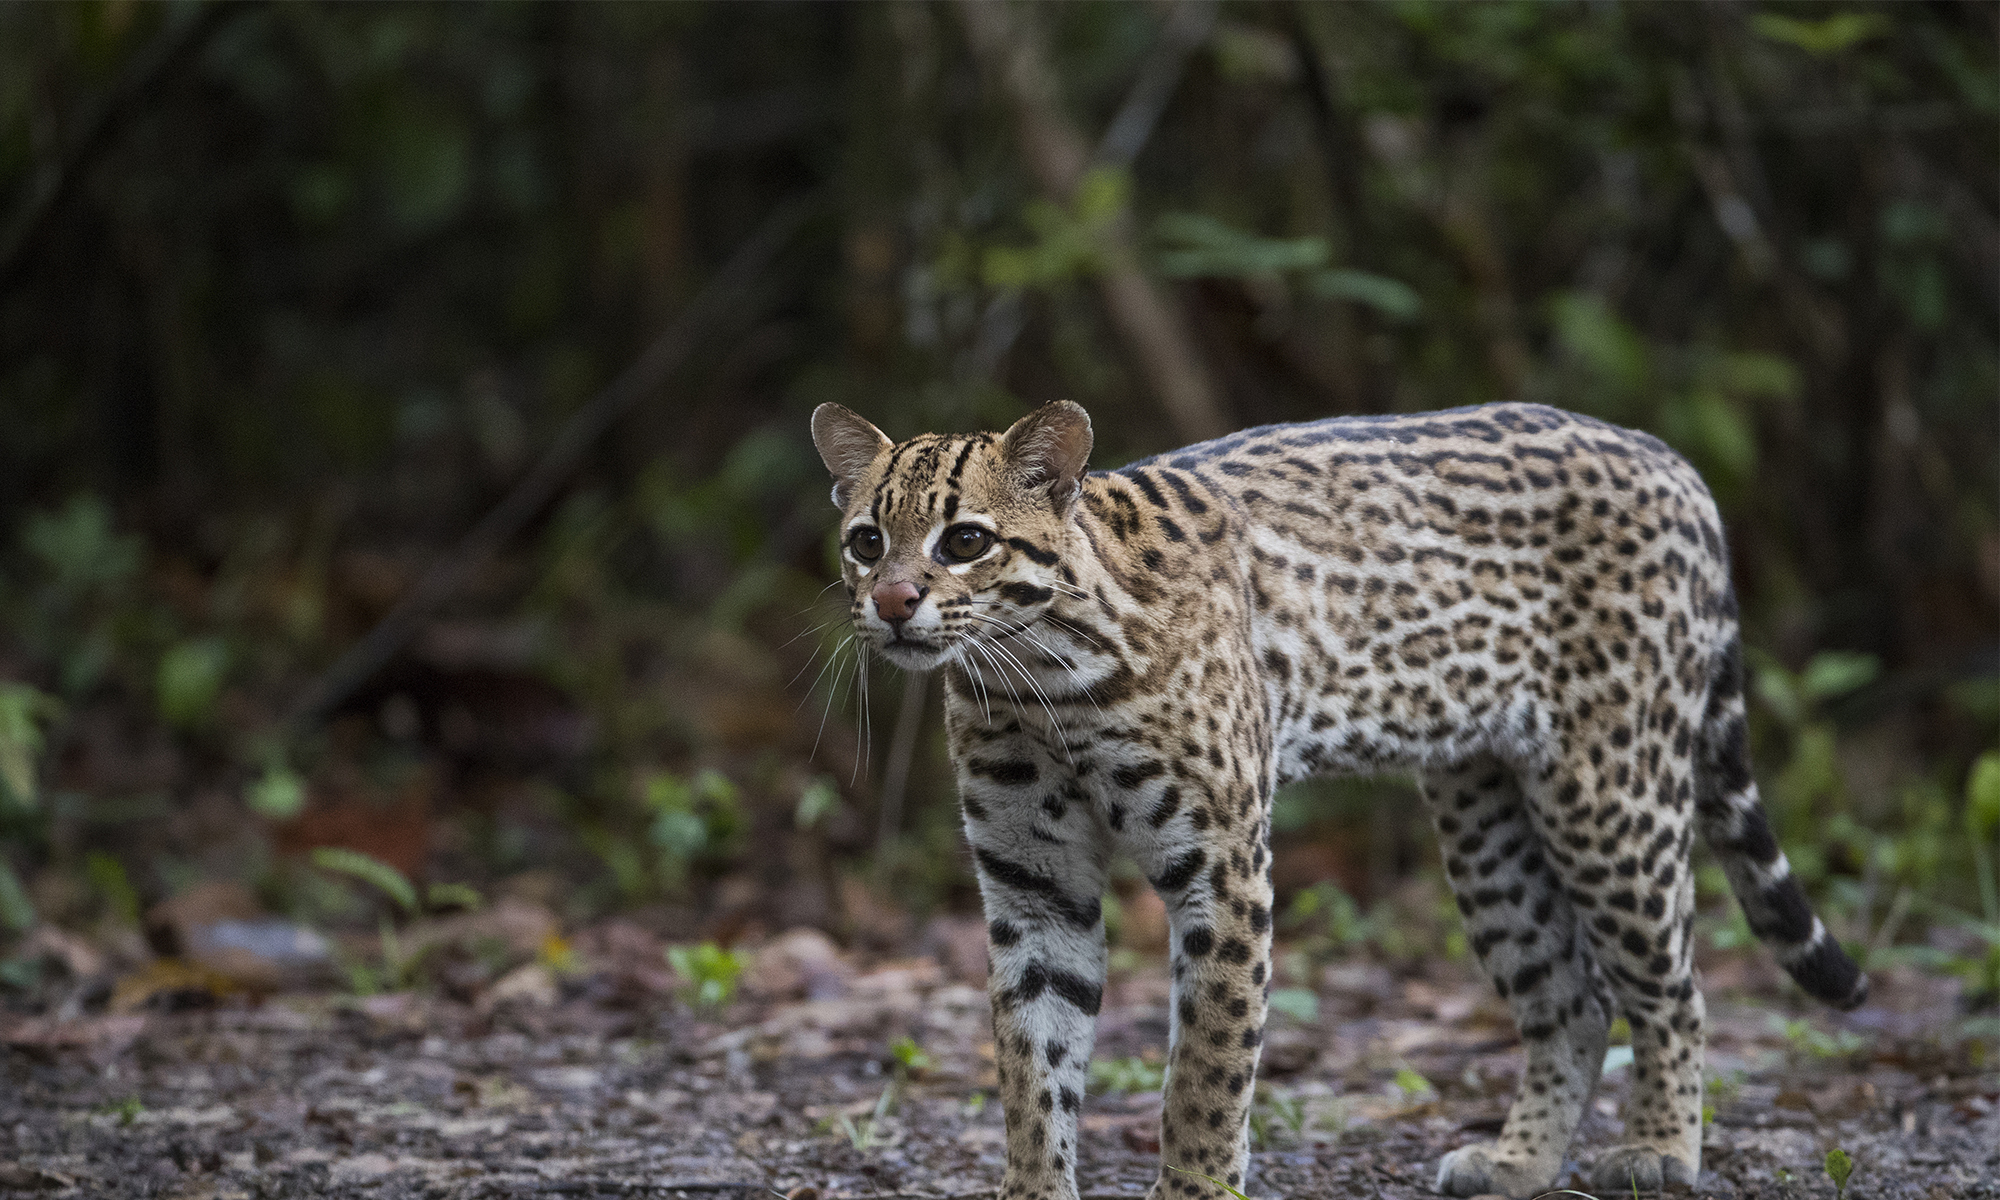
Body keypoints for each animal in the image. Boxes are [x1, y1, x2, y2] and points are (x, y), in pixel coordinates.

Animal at [808, 400, 1856, 1200]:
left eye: (965, 541)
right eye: (865, 541)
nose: (892, 603)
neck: (1042, 683)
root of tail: (1668, 458)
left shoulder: (1222, 867)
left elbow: (1205, 1073)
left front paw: (1195, 1189)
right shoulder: (1033, 888)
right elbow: (1034, 1065)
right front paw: (1035, 1186)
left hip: (1609, 791)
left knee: (1672, 985)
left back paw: (1658, 1150)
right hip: (1485, 818)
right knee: (1571, 996)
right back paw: (1516, 1162)